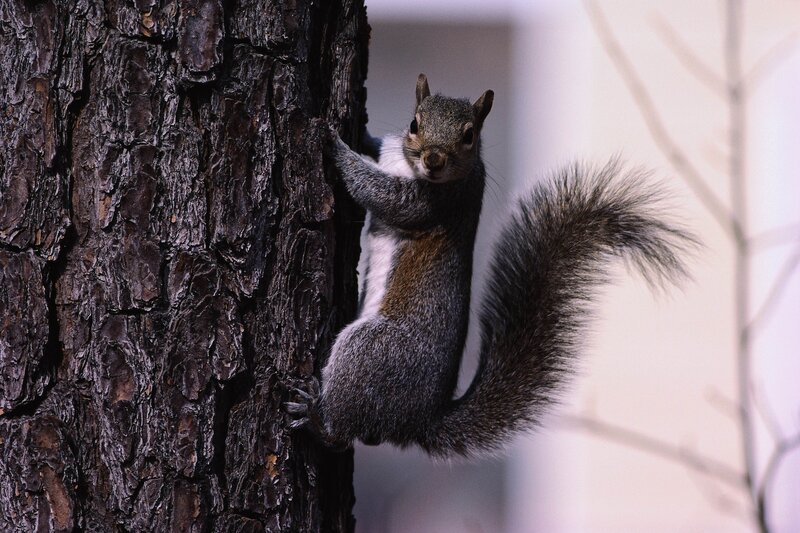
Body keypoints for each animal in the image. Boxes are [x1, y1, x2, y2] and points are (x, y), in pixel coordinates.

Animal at [286, 74, 696, 459]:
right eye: (415, 123)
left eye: (469, 136)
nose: (434, 160)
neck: (408, 164)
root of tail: (415, 423)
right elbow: (376, 152)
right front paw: (360, 135)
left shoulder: (433, 202)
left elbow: (378, 192)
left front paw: (331, 143)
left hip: (374, 352)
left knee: (341, 434)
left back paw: (315, 417)